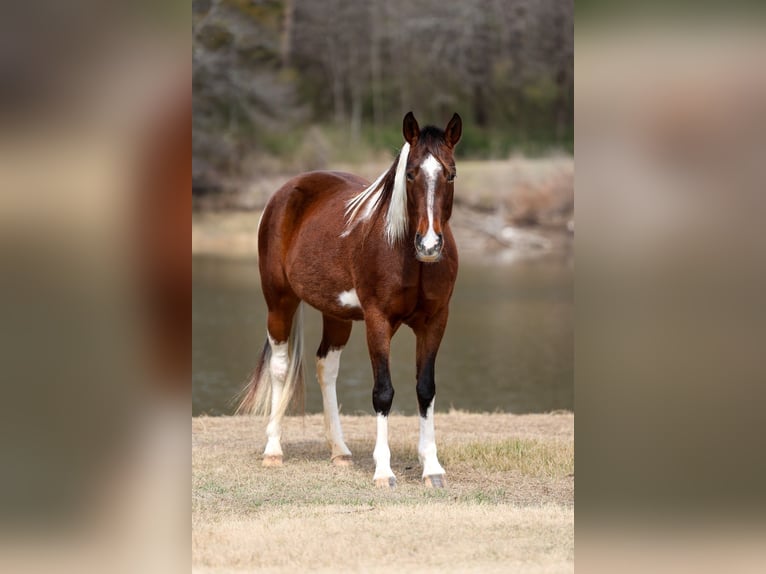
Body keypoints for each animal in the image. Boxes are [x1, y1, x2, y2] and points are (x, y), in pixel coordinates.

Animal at [237, 111, 462, 488]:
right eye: (410, 174)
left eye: (451, 173)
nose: (429, 244)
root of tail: (286, 191)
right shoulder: (377, 321)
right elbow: (383, 391)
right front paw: (384, 471)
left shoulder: (436, 321)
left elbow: (425, 389)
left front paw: (432, 467)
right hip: (279, 302)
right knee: (280, 366)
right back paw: (273, 450)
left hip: (337, 315)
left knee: (326, 367)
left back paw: (340, 451)